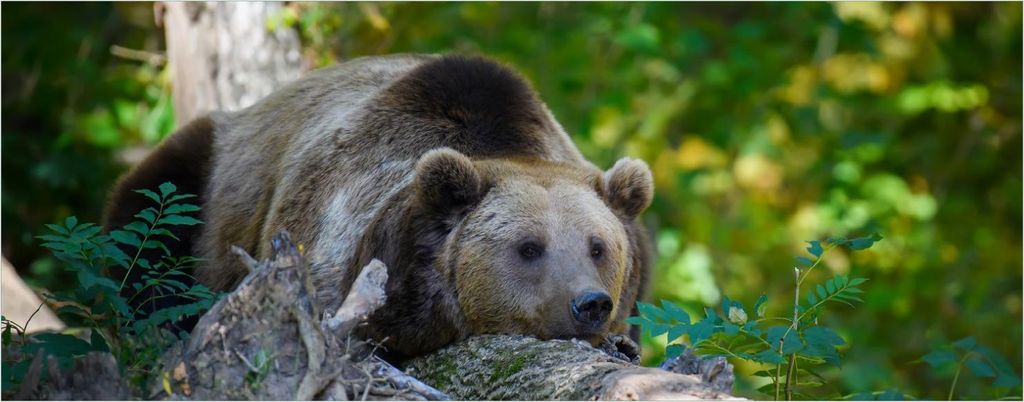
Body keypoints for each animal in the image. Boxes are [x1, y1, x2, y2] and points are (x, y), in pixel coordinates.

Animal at [104, 54, 654, 360]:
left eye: (598, 247)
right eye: (529, 247)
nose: (589, 303)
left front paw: (625, 343)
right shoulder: (334, 235)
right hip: (207, 177)